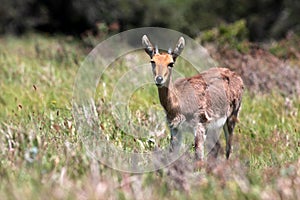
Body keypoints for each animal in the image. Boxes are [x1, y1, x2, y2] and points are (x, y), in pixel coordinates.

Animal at [141, 34, 244, 162]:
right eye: (152, 61)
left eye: (171, 63)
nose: (159, 79)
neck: (178, 106)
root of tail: (239, 78)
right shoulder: (174, 128)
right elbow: (172, 154)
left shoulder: (200, 125)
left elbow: (198, 157)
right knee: (217, 147)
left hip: (232, 116)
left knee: (229, 148)